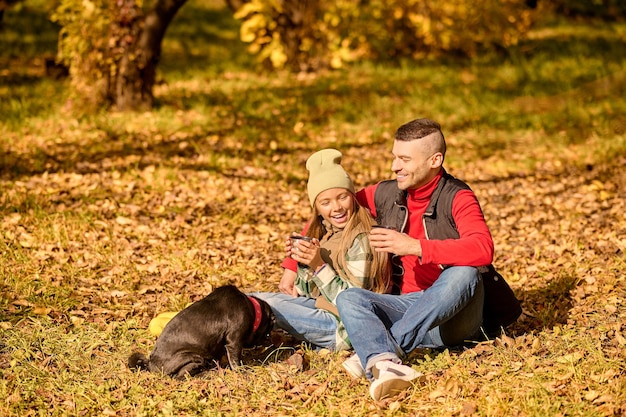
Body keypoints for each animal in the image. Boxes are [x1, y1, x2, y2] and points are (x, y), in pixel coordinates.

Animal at [127, 282, 272, 376]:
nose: (269, 339)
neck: (253, 309)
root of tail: (150, 364)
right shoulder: (234, 342)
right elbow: (236, 361)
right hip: (194, 357)